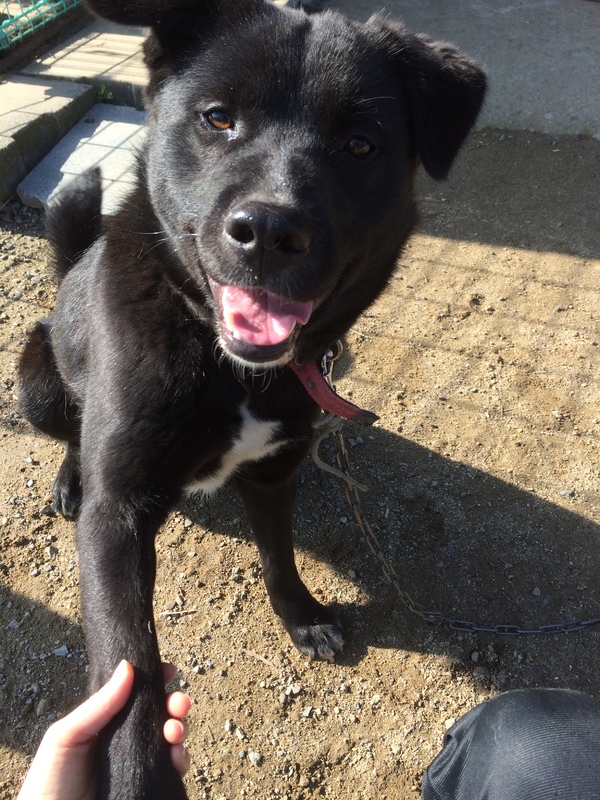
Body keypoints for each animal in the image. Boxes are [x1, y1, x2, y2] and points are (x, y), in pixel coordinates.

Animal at [18, 0, 485, 796]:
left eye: (359, 144)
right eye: (218, 118)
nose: (268, 231)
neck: (229, 368)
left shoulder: (274, 470)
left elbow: (278, 551)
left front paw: (301, 615)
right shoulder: (119, 517)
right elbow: (127, 664)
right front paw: (141, 775)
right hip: (36, 380)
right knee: (73, 434)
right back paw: (68, 478)